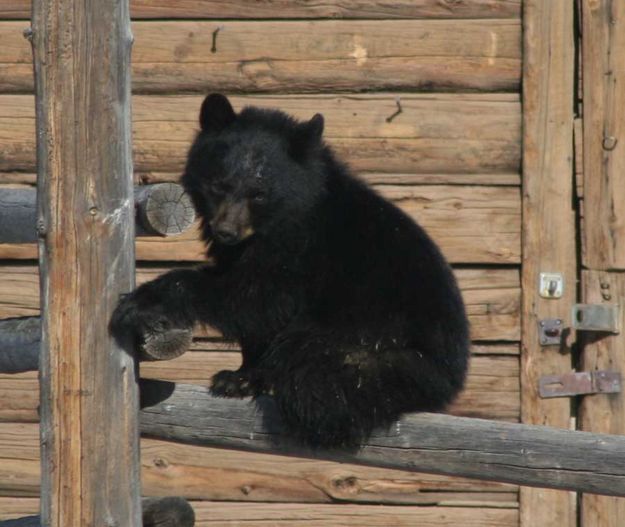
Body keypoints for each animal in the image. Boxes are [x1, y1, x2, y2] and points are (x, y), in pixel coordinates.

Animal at [109, 94, 468, 450]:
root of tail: (450, 379)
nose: (226, 231)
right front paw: (238, 377)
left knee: (309, 373)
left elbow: (258, 299)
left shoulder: (301, 248)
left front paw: (143, 303)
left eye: (259, 193)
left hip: (375, 358)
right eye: (219, 185)